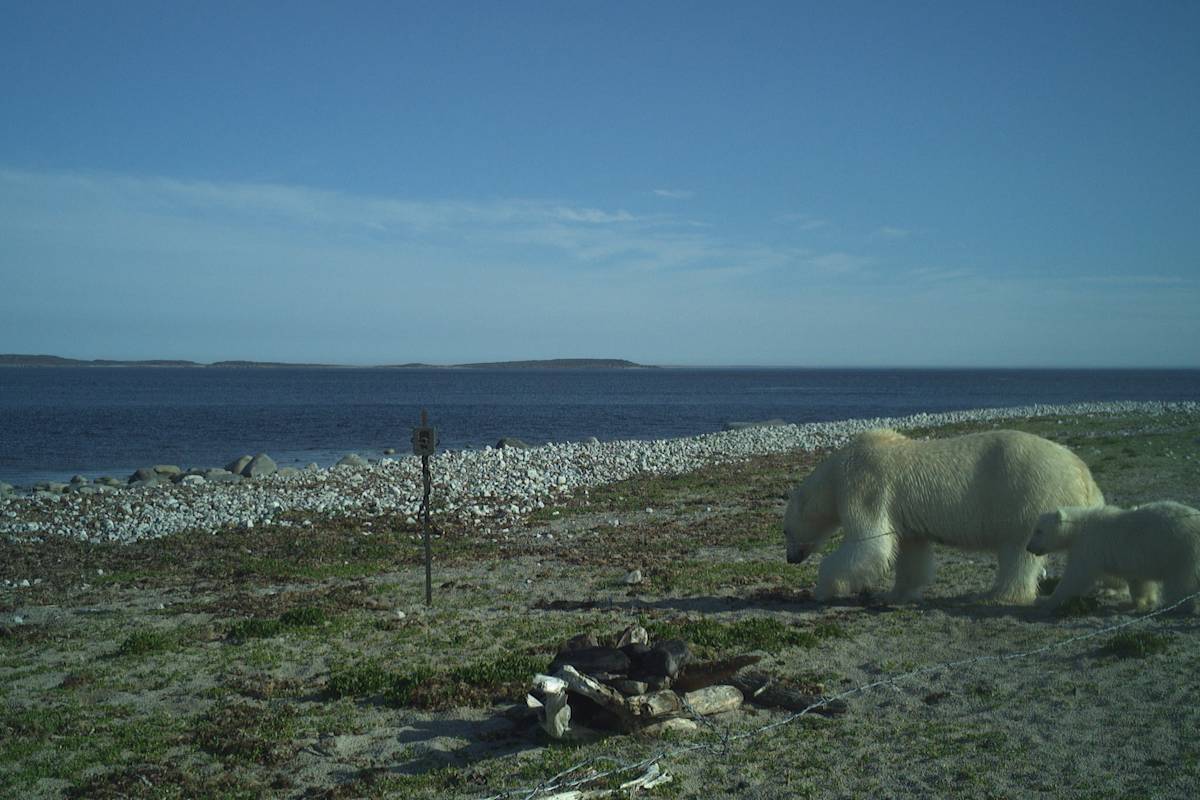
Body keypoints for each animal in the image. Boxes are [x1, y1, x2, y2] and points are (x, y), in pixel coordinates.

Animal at [783, 428, 1104, 605]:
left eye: (785, 531)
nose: (790, 558)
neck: (835, 473)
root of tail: (1084, 476)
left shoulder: (864, 485)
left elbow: (868, 544)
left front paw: (822, 589)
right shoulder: (902, 512)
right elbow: (911, 550)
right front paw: (894, 595)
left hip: (1029, 495)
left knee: (1018, 551)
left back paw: (996, 595)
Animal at [1026, 501, 1200, 614]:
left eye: (1039, 531)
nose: (1028, 547)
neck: (1079, 527)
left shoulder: (1088, 546)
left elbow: (1075, 577)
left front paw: (1045, 601)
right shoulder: (1133, 561)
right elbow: (1139, 581)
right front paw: (1143, 602)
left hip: (1181, 549)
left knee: (1180, 582)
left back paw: (1180, 606)